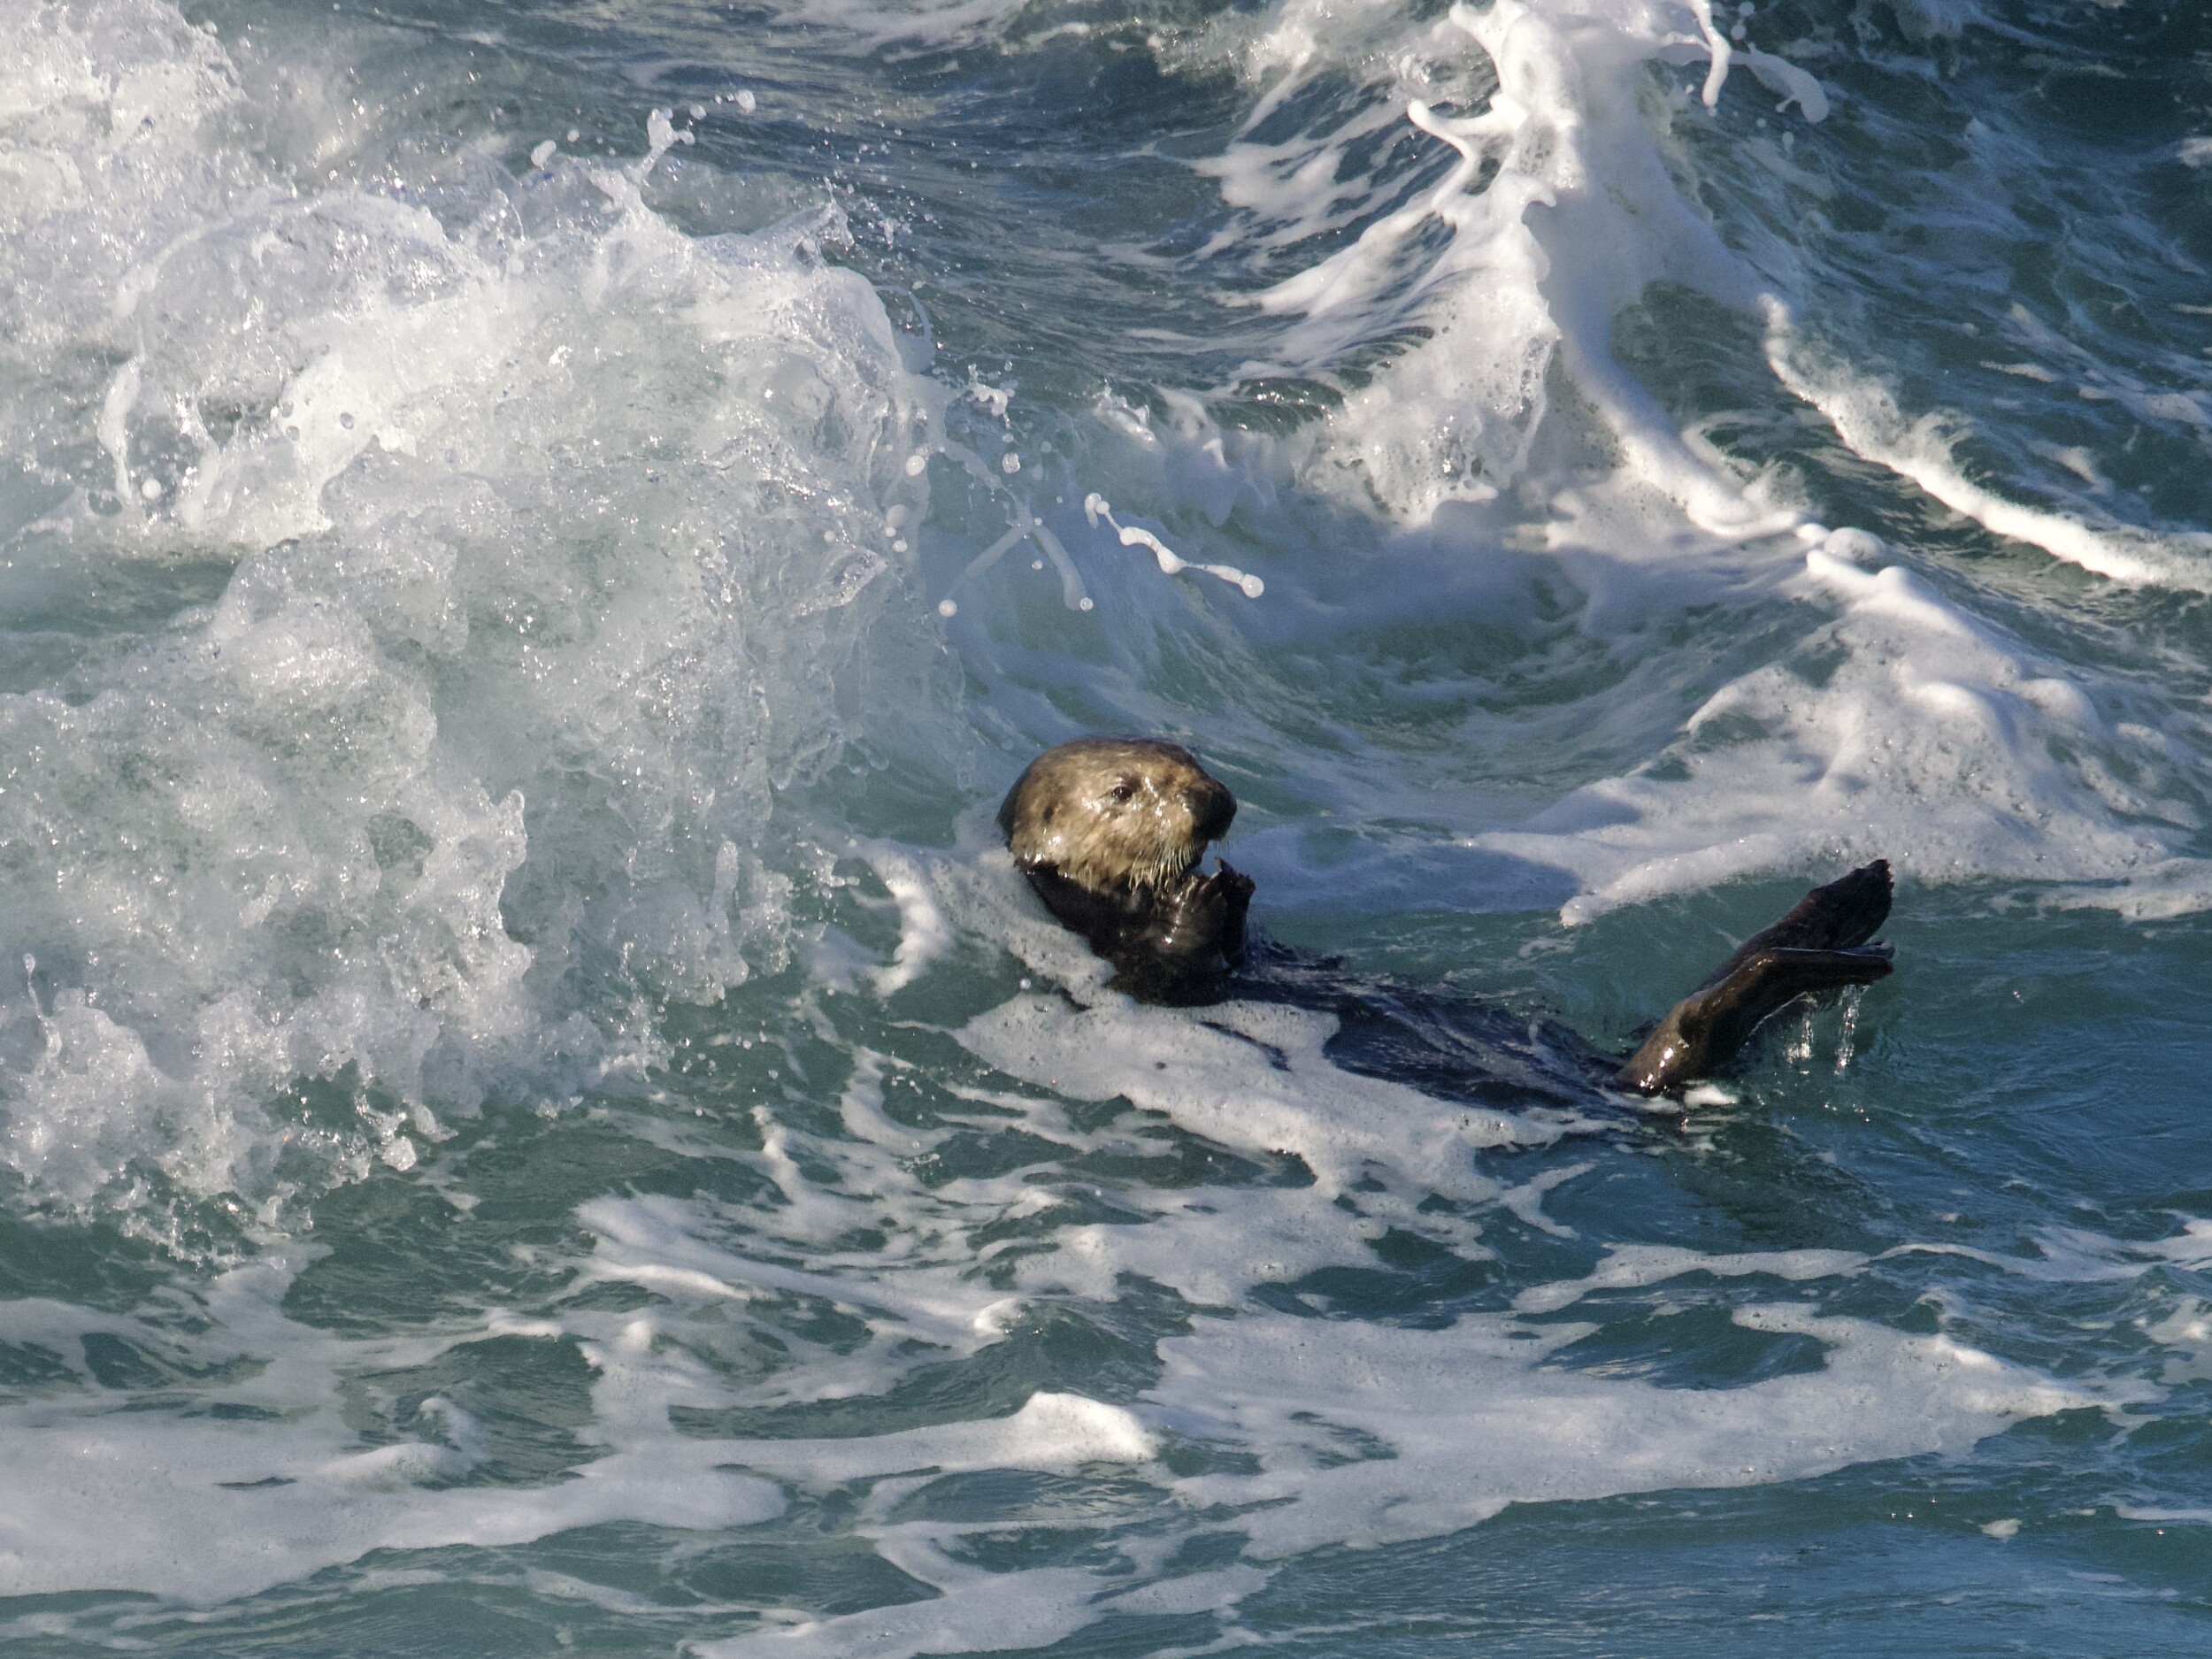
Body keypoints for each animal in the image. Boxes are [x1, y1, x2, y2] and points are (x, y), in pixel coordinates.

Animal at [1000, 739, 1885, 1106]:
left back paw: (1860, 898)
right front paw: (1199, 900)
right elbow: (1167, 971)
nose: (1216, 802)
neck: (1115, 907)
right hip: (1648, 1067)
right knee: (1697, 1026)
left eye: (1188, 756)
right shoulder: (1117, 957)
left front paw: (1236, 888)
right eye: (1124, 791)